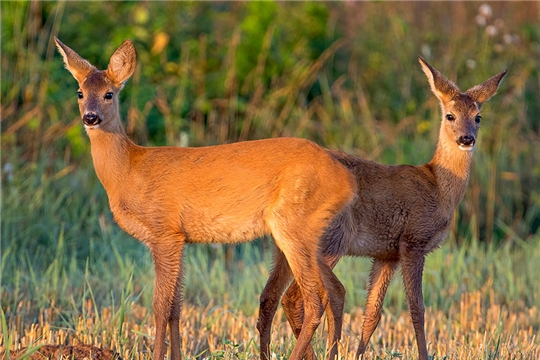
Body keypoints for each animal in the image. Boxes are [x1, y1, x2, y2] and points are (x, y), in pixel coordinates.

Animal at [56, 37, 358, 360]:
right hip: (308, 233)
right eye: (80, 93)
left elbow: (160, 307)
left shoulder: (165, 232)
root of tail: (345, 180)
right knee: (334, 290)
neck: (129, 171)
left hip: (293, 225)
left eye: (109, 94)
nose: (90, 117)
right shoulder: (180, 239)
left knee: (314, 297)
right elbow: (176, 307)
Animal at [258, 57, 506, 358]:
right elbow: (417, 310)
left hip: (285, 247)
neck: (438, 187)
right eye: (450, 115)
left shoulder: (386, 254)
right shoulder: (414, 241)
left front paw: (358, 355)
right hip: (328, 242)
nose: (466, 139)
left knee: (269, 297)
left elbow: (372, 314)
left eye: (478, 117)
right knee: (295, 298)